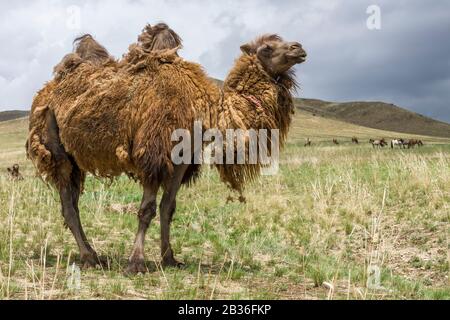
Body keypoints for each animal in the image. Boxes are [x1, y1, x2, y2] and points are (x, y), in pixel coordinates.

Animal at [27, 25, 306, 276]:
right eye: (267, 48)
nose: (299, 48)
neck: (206, 108)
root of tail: (43, 93)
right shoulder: (155, 155)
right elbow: (146, 210)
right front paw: (136, 263)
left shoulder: (181, 160)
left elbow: (167, 207)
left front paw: (169, 258)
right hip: (55, 148)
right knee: (68, 206)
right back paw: (89, 257)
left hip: (75, 160)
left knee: (73, 201)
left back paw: (93, 254)